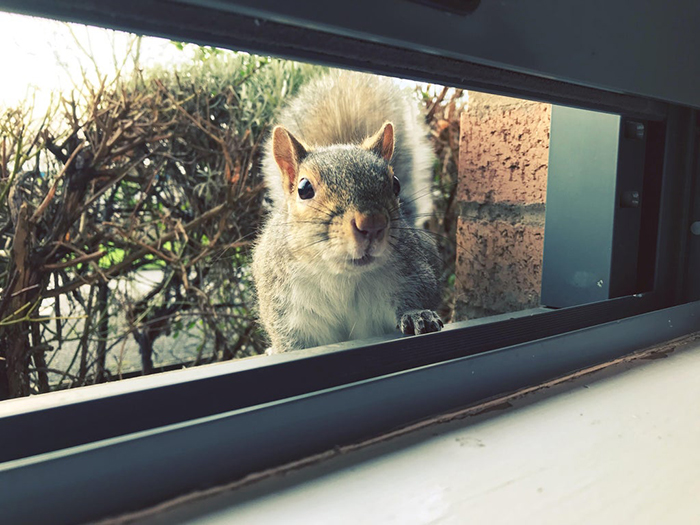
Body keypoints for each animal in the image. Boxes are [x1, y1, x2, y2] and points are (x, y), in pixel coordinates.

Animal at [253, 69, 442, 352]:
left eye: (395, 183)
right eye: (304, 188)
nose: (372, 224)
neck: (342, 277)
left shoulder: (414, 272)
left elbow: (418, 297)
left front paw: (419, 315)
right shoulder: (287, 311)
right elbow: (292, 343)